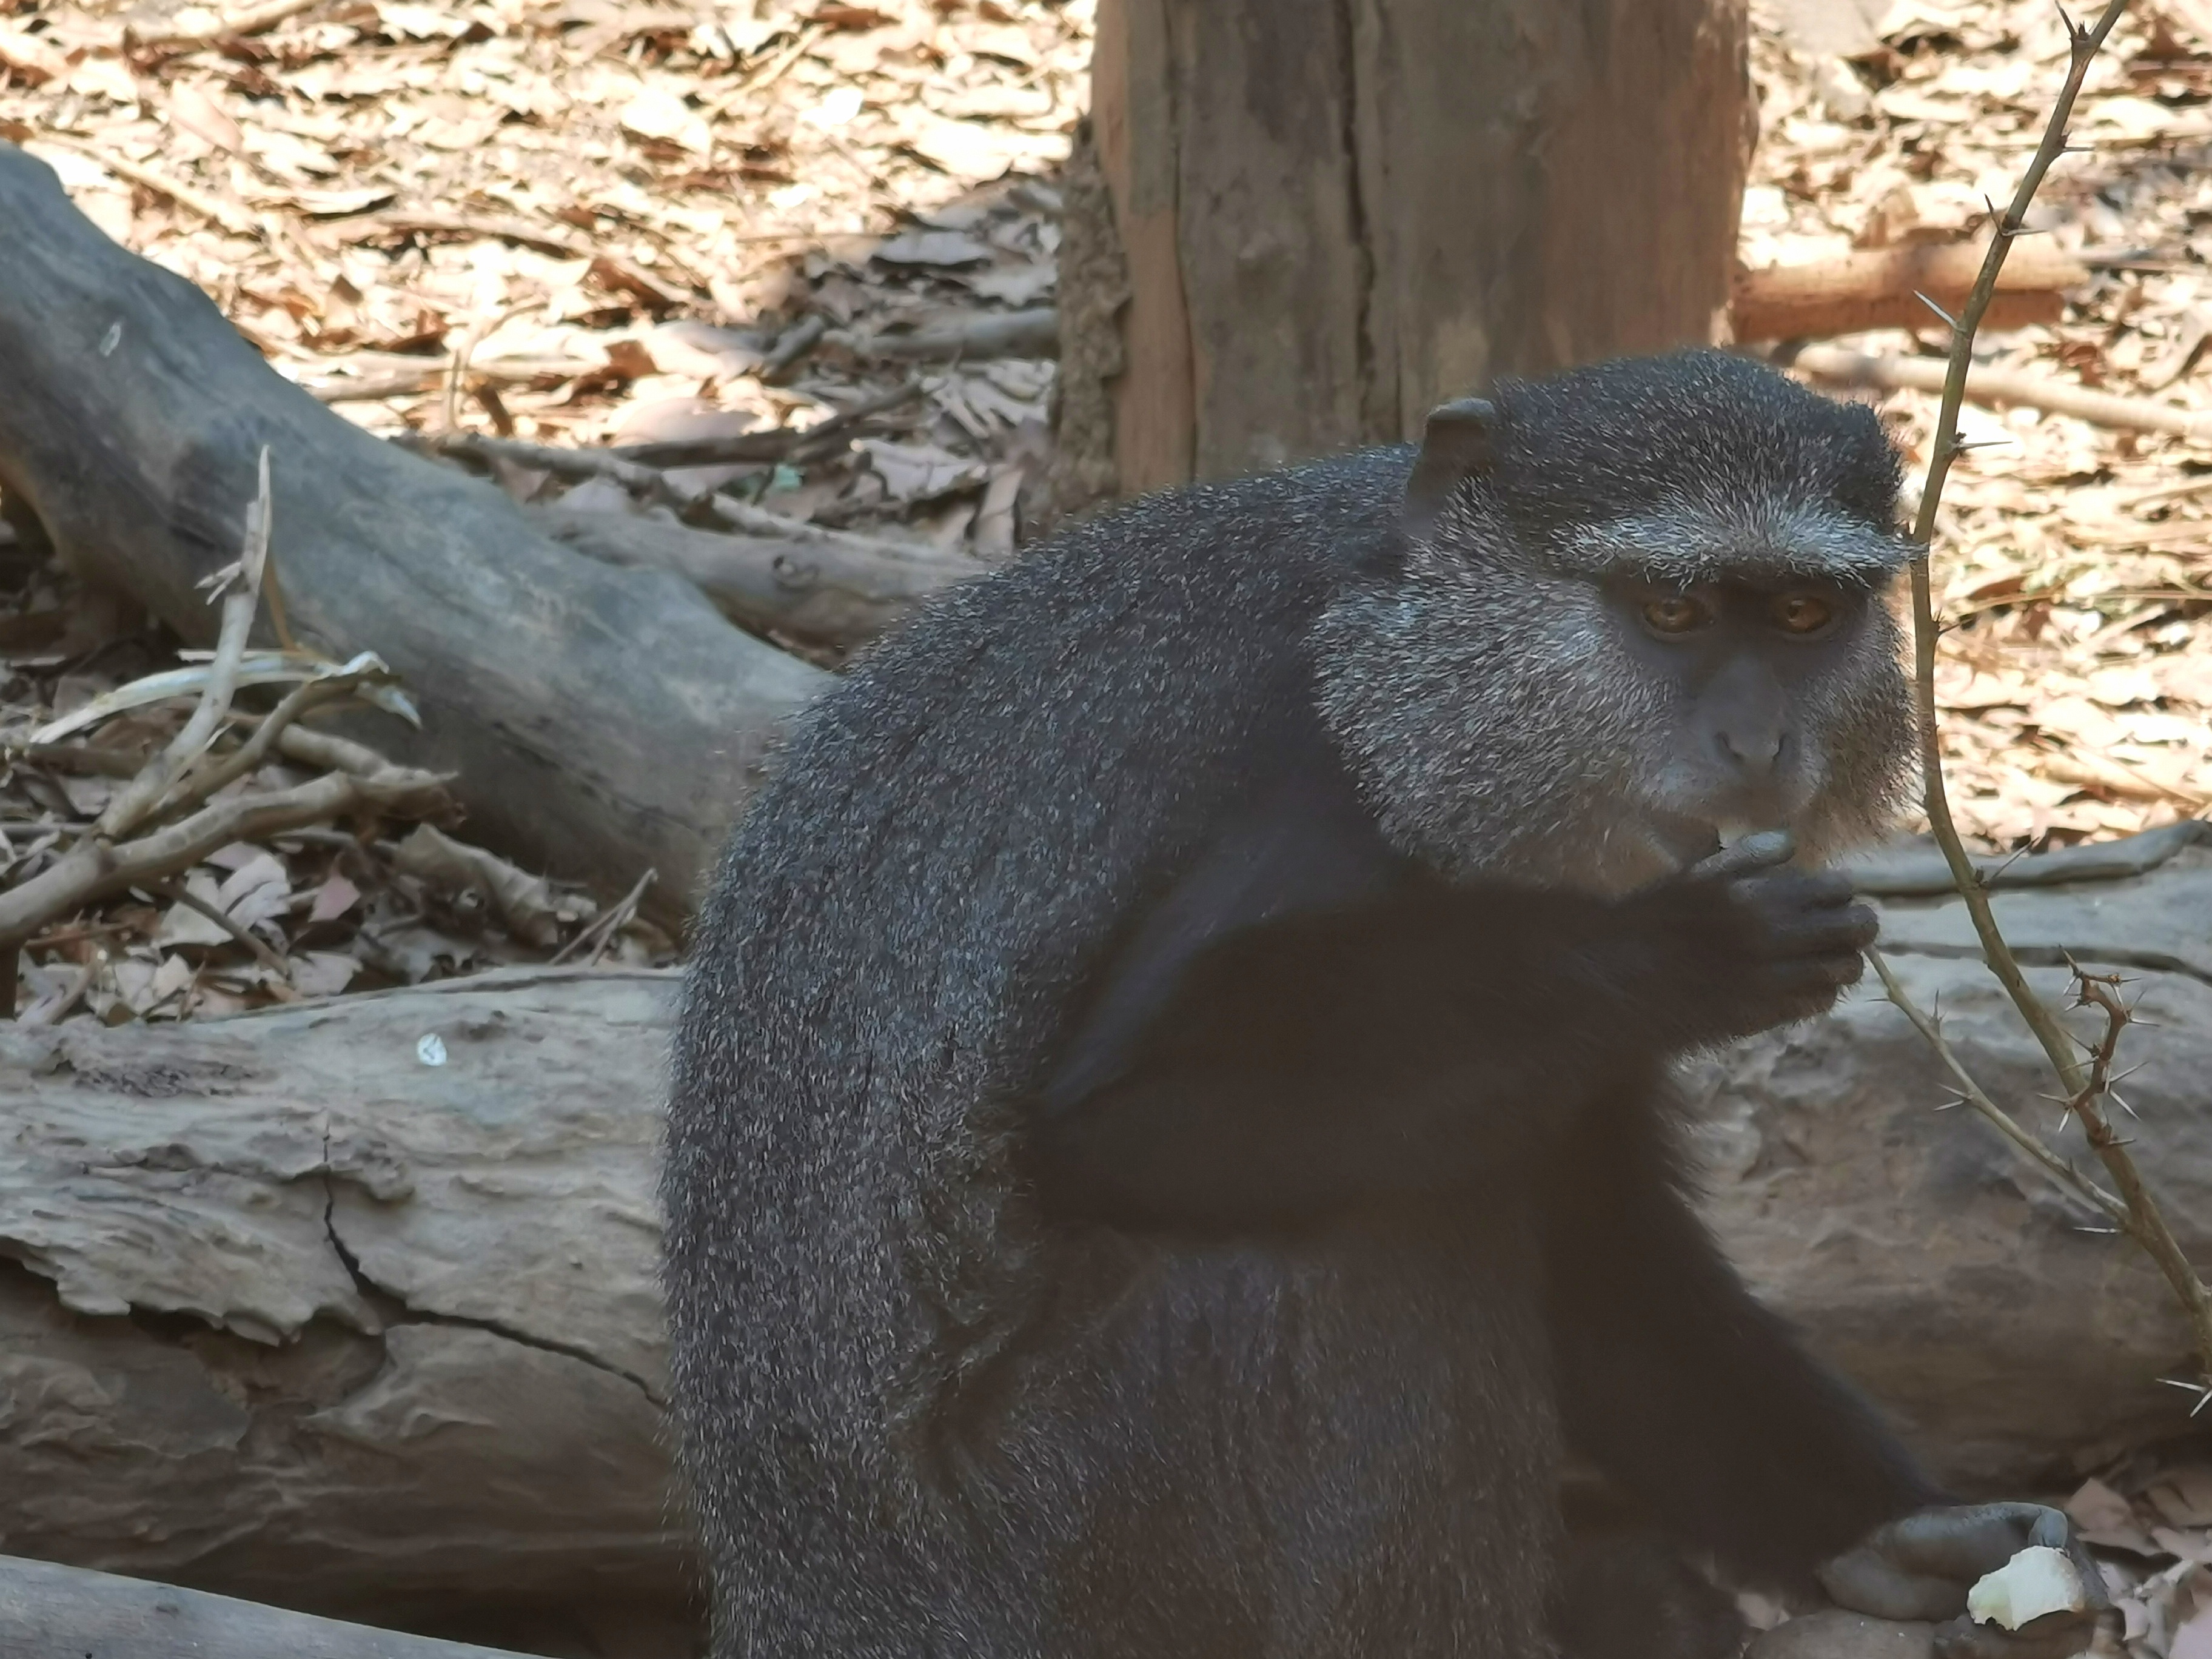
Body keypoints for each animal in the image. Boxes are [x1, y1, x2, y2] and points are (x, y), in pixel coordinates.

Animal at [659, 354, 2105, 1659]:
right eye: (1672, 611)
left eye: (1803, 615)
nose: (1755, 747)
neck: (1411, 642)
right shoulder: (1323, 796)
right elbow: (1118, 1110)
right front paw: (1677, 958)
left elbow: (1593, 1234)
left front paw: (1883, 1533)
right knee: (1358, 1238)